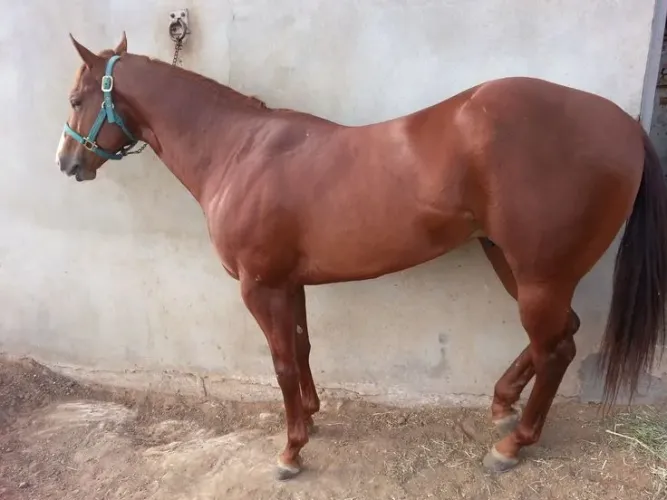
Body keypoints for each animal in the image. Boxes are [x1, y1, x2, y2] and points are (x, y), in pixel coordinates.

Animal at [55, 32, 667, 480]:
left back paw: (512, 445)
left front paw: (290, 451)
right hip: (516, 265)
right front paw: (311, 416)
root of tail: (625, 125)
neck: (238, 151)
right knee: (560, 334)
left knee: (557, 349)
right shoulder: (288, 282)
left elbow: (280, 361)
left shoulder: (259, 285)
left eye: (76, 100)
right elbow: (301, 347)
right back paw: (502, 404)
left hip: (538, 273)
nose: (67, 162)